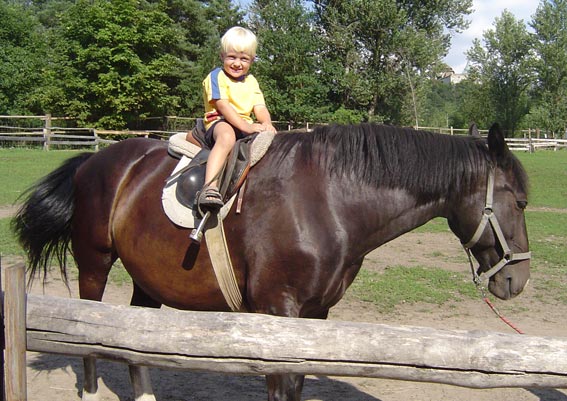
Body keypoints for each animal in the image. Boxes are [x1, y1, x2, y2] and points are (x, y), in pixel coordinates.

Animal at [12, 122, 532, 400]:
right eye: (521, 201)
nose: (518, 279)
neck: (328, 200)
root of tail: (93, 161)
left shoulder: (315, 315)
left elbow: (297, 383)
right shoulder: (277, 310)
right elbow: (281, 385)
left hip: (148, 278)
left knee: (135, 338)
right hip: (95, 263)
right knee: (90, 328)